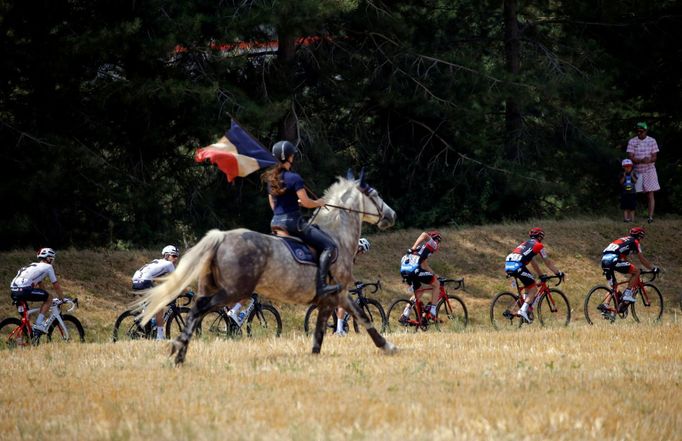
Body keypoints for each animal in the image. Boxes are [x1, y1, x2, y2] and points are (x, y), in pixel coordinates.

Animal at [135, 172, 396, 364]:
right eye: (375, 194)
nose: (392, 215)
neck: (337, 235)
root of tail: (222, 237)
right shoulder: (339, 293)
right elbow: (363, 316)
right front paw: (387, 345)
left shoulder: (329, 299)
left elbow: (320, 331)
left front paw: (314, 356)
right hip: (234, 291)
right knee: (202, 309)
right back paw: (178, 350)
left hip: (210, 287)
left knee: (193, 311)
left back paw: (179, 352)